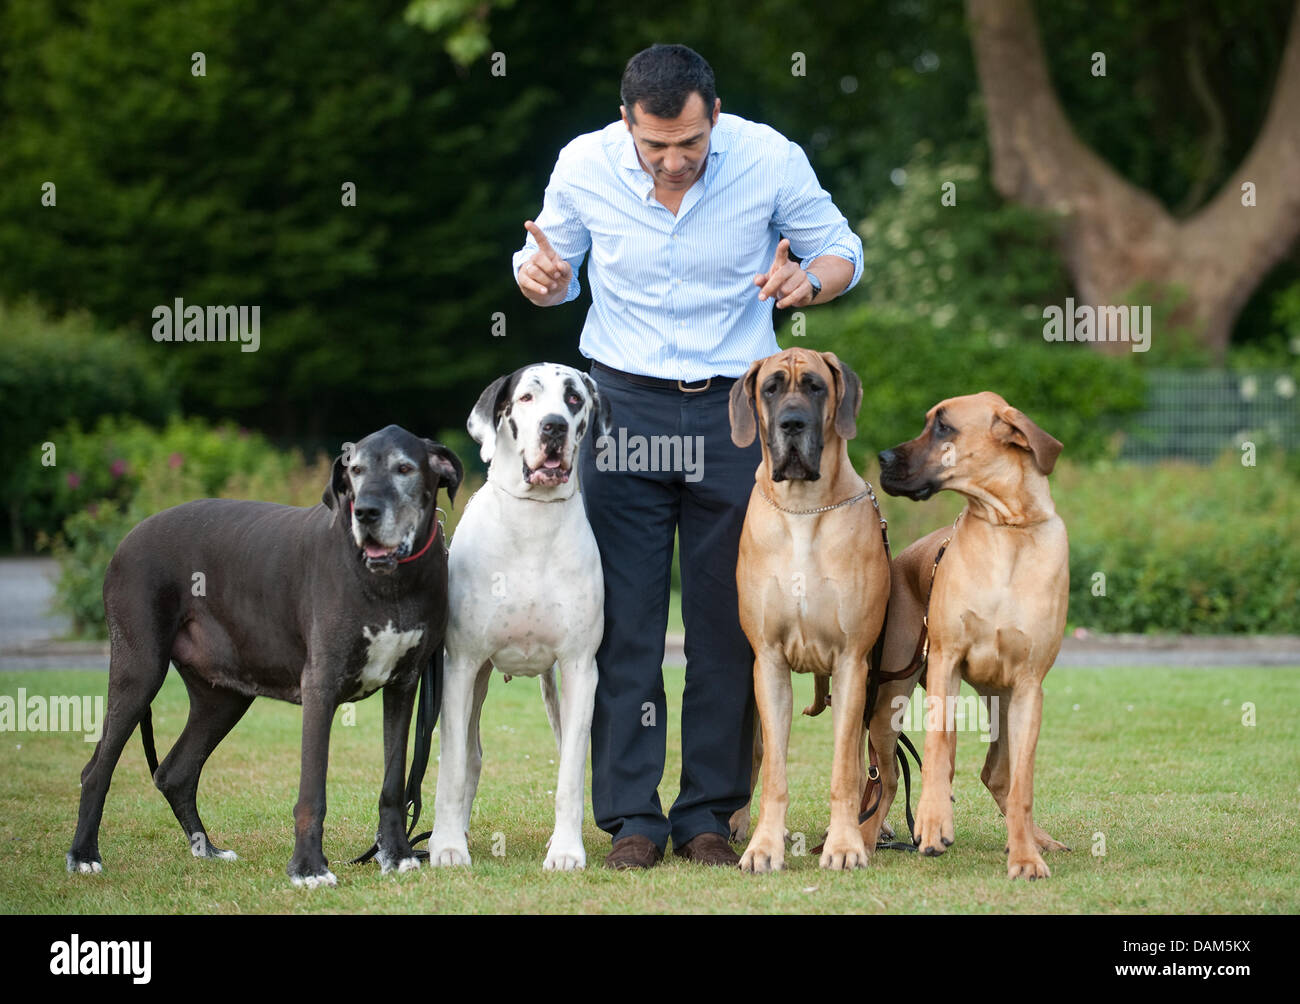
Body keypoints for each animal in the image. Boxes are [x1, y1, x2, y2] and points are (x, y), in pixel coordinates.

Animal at [67, 423, 462, 884]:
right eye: (356, 470)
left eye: (404, 468)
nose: (365, 512)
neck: (390, 581)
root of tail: (128, 536)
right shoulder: (321, 686)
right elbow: (312, 791)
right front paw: (308, 868)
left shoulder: (404, 685)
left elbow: (394, 782)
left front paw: (396, 854)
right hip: (140, 669)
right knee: (96, 770)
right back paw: (84, 854)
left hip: (224, 697)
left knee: (175, 772)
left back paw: (207, 849)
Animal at [426, 361, 608, 868]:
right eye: (527, 397)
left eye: (574, 398)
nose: (554, 427)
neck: (534, 523)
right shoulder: (461, 666)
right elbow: (451, 769)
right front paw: (447, 846)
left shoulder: (580, 668)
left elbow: (571, 773)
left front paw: (566, 851)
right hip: (476, 679)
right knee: (468, 757)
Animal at [733, 348, 894, 868]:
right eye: (771, 388)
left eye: (816, 387)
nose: (792, 422)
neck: (803, 508)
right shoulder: (769, 662)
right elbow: (774, 772)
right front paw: (764, 845)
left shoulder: (851, 663)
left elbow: (845, 769)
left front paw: (843, 845)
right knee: (755, 756)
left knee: (876, 770)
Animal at [873, 392, 1066, 879]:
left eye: (943, 426)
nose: (881, 457)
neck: (1006, 528)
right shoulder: (947, 661)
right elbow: (937, 749)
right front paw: (932, 822)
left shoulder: (1029, 687)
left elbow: (1022, 783)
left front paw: (1026, 856)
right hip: (889, 701)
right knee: (887, 776)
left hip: (1003, 703)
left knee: (996, 774)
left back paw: (1033, 838)